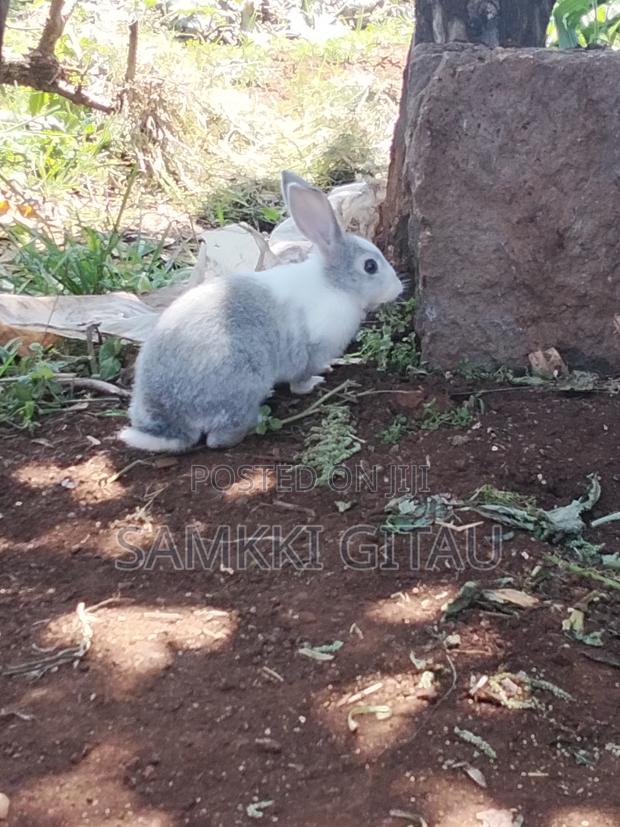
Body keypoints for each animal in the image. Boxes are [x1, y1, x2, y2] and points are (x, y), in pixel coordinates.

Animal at [119, 171, 403, 452]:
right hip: (243, 385)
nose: (398, 289)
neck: (335, 283)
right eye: (370, 266)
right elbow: (300, 381)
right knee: (218, 438)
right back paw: (255, 420)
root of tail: (172, 418)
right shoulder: (311, 351)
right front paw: (314, 382)